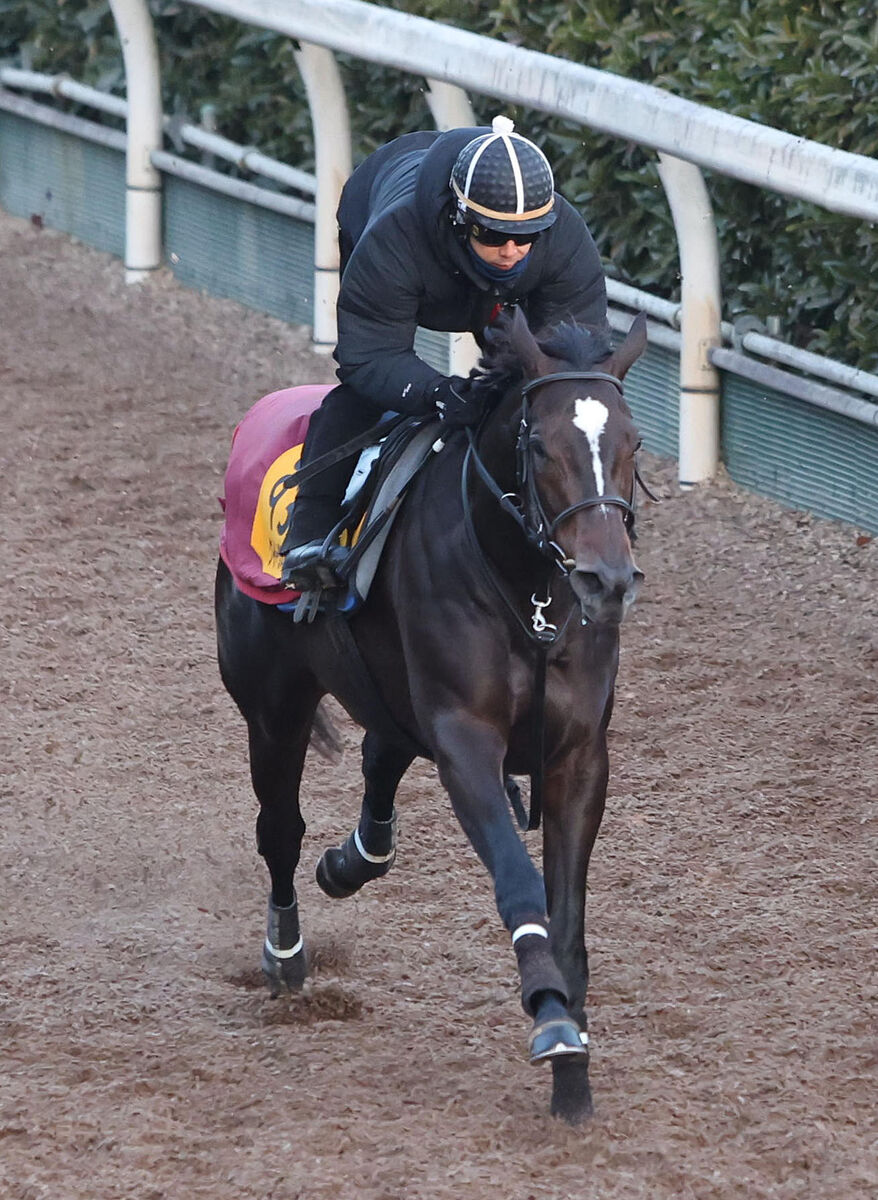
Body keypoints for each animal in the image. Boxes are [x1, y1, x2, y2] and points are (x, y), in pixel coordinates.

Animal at [215, 304, 647, 1118]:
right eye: (539, 444)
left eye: (632, 443)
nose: (607, 580)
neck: (529, 592)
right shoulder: (466, 739)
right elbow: (519, 881)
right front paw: (550, 1017)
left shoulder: (578, 754)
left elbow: (569, 916)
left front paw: (574, 1072)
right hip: (273, 707)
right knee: (280, 829)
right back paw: (285, 954)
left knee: (380, 751)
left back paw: (351, 860)